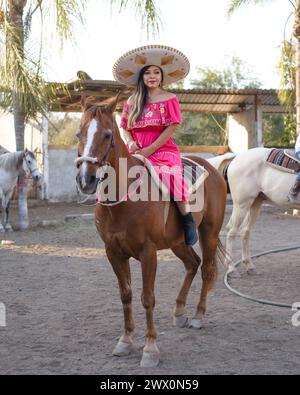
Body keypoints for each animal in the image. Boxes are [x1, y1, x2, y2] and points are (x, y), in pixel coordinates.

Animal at [75, 97, 227, 370]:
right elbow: (125, 295)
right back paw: (179, 311)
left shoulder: (148, 253)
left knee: (207, 269)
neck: (123, 198)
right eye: (78, 134)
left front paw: (150, 349)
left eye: (107, 135)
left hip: (209, 233)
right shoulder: (113, 252)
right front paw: (125, 341)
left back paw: (198, 315)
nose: (86, 180)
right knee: (193, 263)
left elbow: (148, 298)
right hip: (178, 242)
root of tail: (211, 166)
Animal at [209, 148, 300, 276]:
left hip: (255, 203)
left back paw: (249, 265)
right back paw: (231, 268)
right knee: (232, 231)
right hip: (242, 204)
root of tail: (236, 157)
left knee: (244, 231)